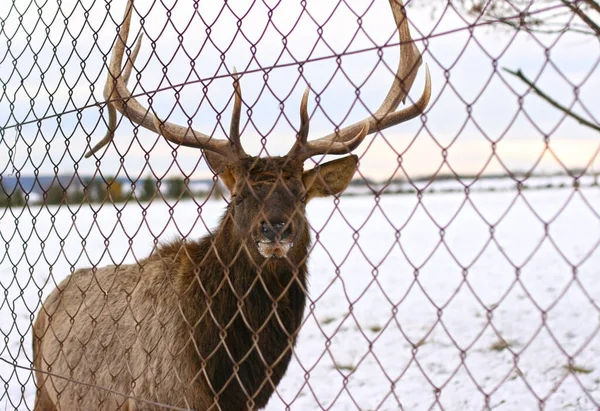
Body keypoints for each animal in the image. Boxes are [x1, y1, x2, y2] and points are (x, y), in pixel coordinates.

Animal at [32, 0, 428, 410]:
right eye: (238, 196)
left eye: (300, 195)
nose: (274, 228)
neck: (226, 384)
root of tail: (47, 303)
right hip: (44, 390)